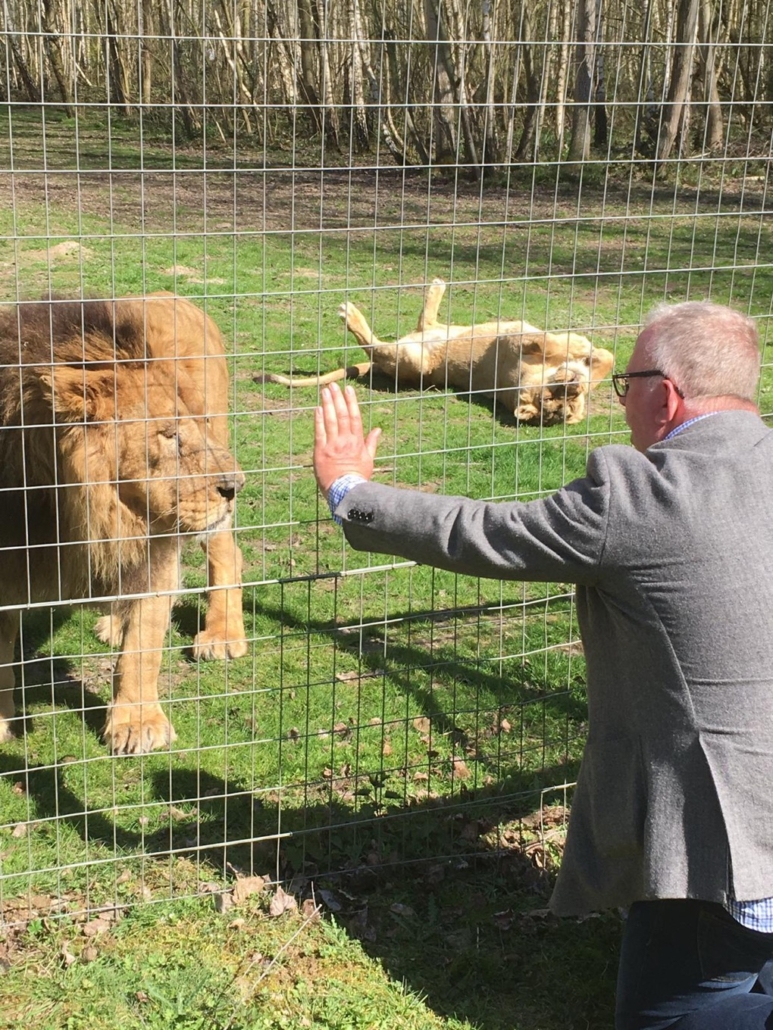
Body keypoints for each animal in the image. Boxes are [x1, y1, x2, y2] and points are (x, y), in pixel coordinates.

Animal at [0, 293, 247, 755]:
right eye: (168, 434)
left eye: (192, 426)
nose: (235, 485)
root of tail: (170, 295)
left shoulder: (156, 551)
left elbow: (142, 648)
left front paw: (137, 724)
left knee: (227, 552)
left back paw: (222, 635)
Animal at [259, 278, 614, 424]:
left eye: (562, 407)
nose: (573, 386)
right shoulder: (520, 342)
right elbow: (603, 357)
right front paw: (583, 349)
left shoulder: (515, 345)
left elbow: (548, 342)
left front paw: (576, 348)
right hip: (437, 332)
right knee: (424, 320)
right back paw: (437, 286)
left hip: (411, 361)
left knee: (375, 347)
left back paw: (351, 313)